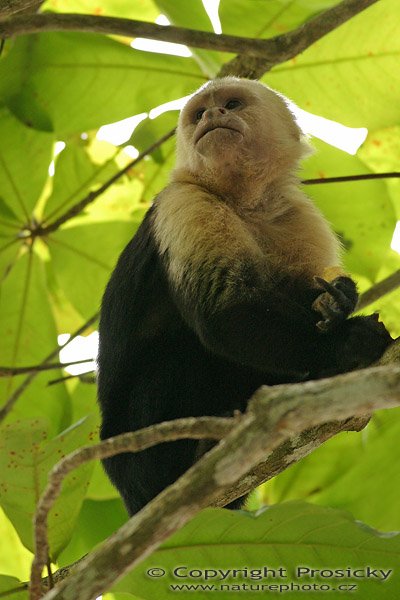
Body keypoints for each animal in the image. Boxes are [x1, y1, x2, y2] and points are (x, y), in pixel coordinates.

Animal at [97, 75, 394, 516]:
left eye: (232, 104)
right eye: (199, 114)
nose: (214, 115)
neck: (244, 202)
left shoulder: (297, 215)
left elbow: (301, 293)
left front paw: (339, 301)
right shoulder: (185, 203)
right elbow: (226, 312)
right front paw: (347, 342)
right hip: (133, 459)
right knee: (174, 358)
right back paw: (189, 461)